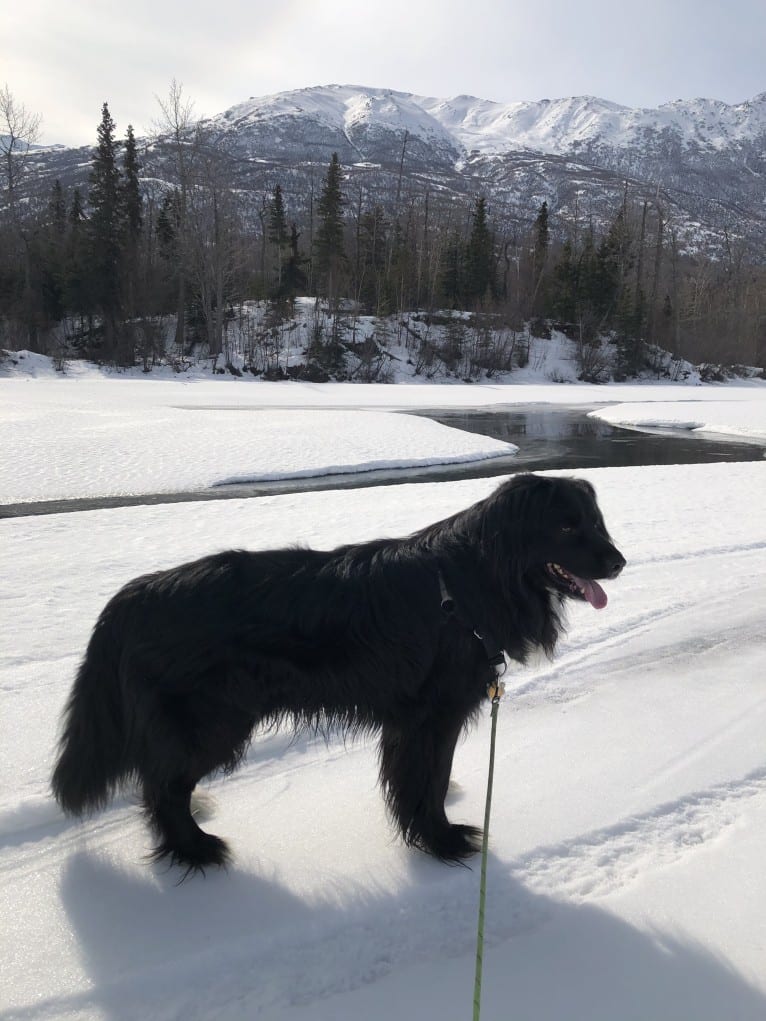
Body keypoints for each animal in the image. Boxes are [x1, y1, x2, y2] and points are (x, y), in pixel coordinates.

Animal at [51, 473, 625, 873]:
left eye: (596, 522)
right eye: (566, 526)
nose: (619, 562)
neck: (469, 584)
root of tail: (132, 595)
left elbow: (425, 779)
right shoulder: (432, 716)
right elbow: (428, 781)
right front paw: (441, 840)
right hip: (214, 720)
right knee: (164, 785)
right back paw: (195, 848)